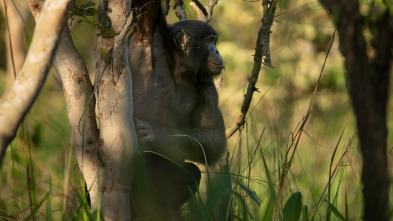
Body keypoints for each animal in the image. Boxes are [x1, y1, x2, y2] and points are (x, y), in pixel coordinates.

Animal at [129, 0, 225, 219]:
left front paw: (152, 132)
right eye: (209, 41)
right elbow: (148, 10)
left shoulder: (207, 87)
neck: (177, 68)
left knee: (192, 172)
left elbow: (213, 136)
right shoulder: (150, 36)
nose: (217, 51)